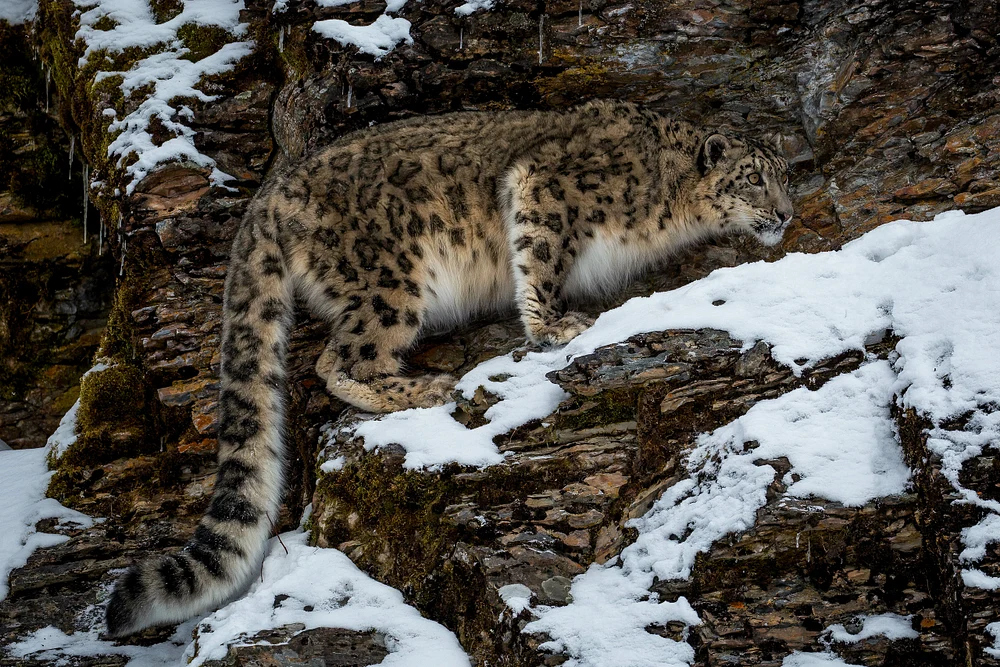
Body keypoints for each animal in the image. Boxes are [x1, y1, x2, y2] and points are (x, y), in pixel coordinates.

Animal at [105, 99, 793, 636]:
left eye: (782, 178)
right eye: (754, 179)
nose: (786, 213)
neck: (664, 199)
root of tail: (268, 196)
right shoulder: (547, 188)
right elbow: (540, 257)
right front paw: (554, 326)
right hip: (389, 278)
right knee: (340, 359)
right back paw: (422, 387)